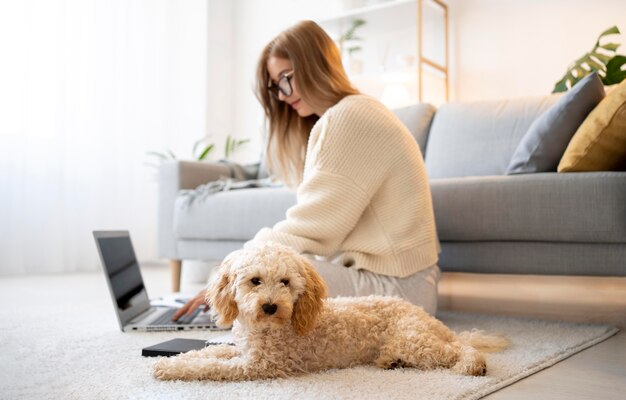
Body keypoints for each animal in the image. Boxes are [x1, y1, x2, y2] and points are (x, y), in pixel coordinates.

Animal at [154, 241, 504, 382]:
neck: (266, 329)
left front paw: (170, 369)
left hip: (415, 341)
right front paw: (172, 360)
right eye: (255, 281)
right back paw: (390, 362)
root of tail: (427, 317)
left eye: (285, 282)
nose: (270, 306)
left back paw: (473, 364)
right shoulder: (244, 352)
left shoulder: (259, 366)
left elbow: (210, 366)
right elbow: (208, 353)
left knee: (460, 347)